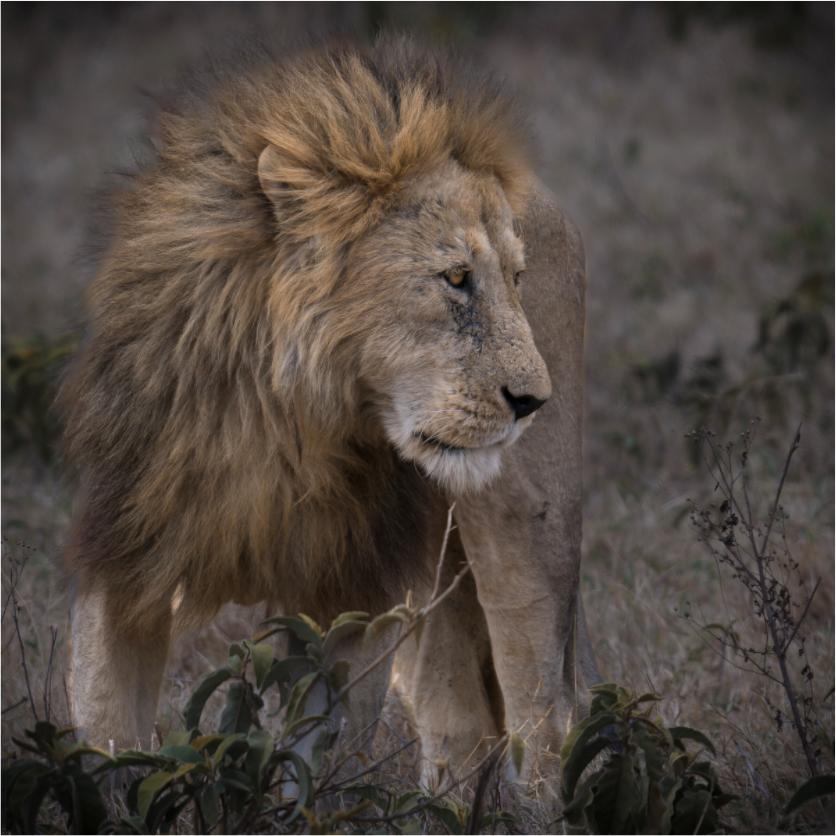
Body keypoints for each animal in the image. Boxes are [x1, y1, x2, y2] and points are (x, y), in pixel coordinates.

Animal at [59, 32, 601, 775]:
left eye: (516, 280)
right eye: (456, 278)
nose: (532, 401)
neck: (279, 423)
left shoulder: (352, 586)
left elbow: (317, 754)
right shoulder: (127, 550)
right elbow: (109, 736)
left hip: (529, 531)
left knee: (542, 723)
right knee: (459, 721)